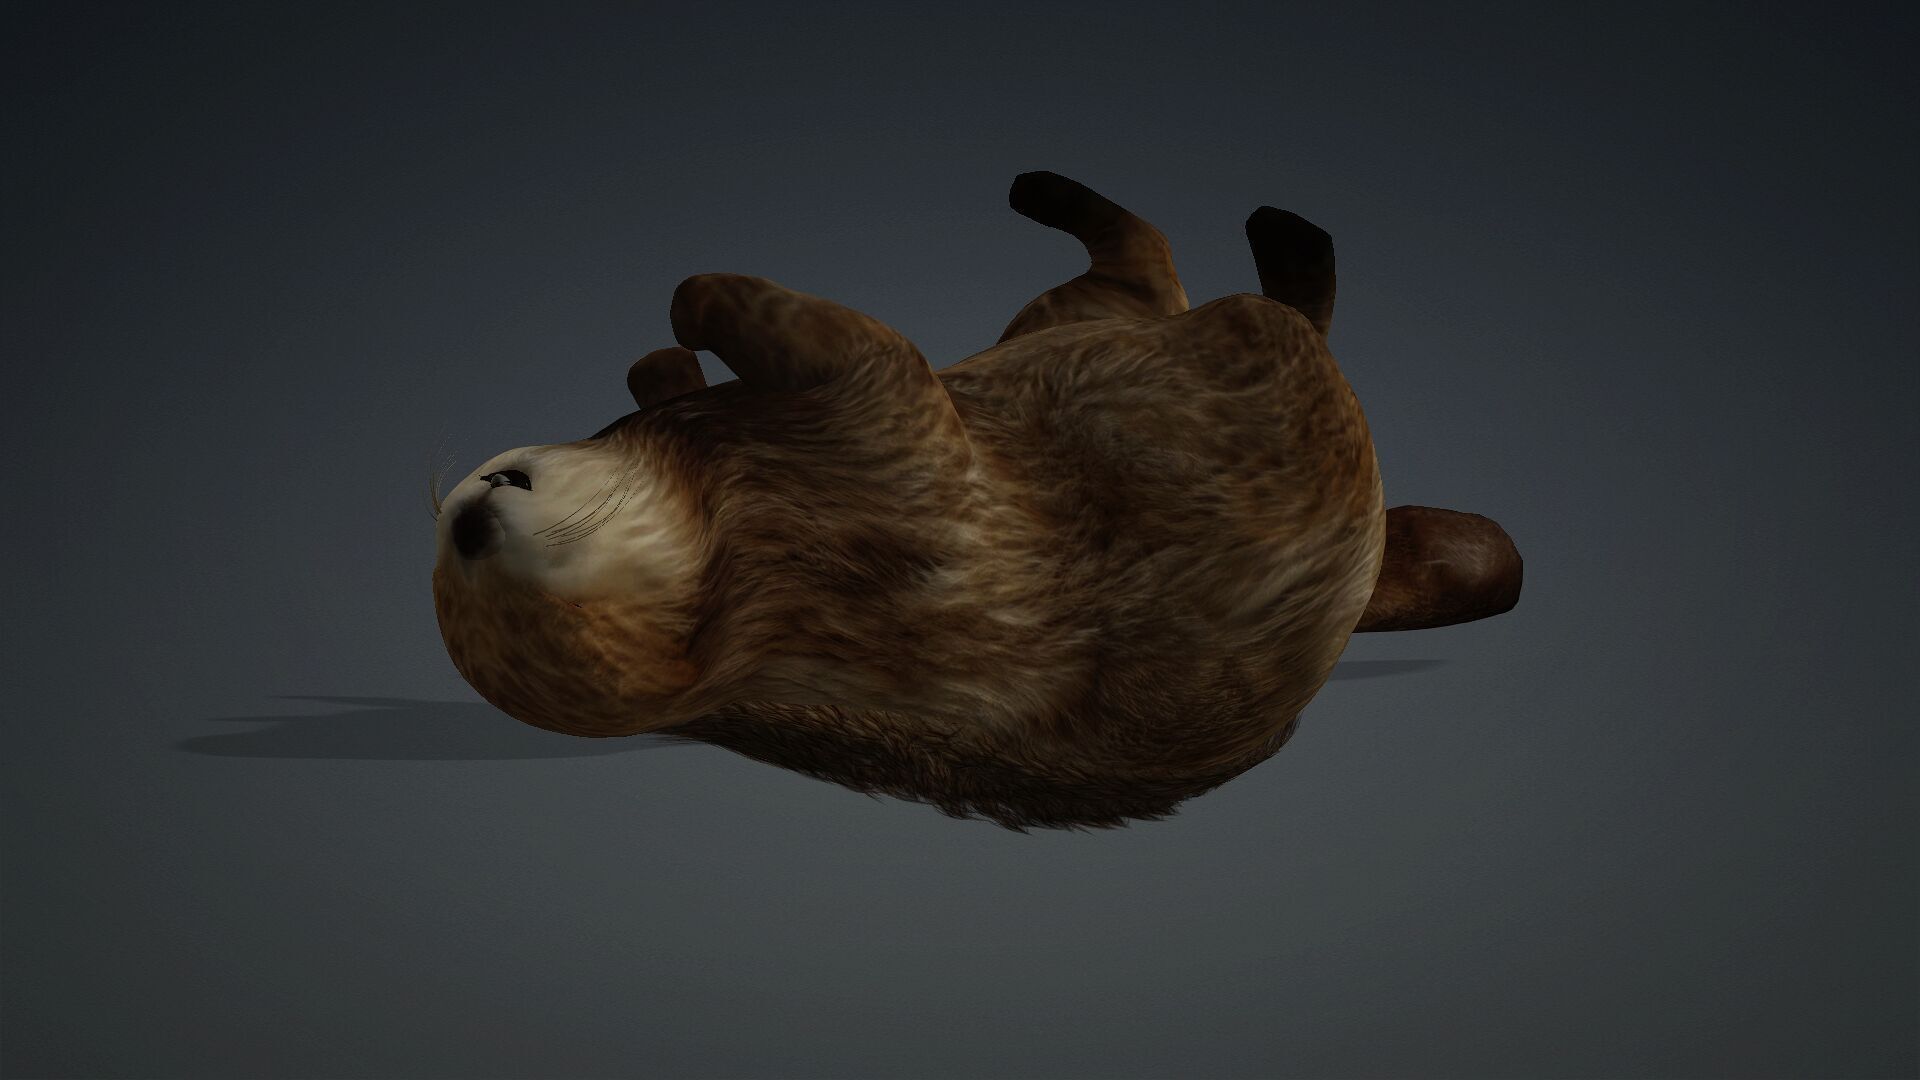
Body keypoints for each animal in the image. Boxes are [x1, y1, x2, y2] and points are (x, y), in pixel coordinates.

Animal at [430, 172, 1522, 830]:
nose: (472, 502)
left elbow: (677, 362)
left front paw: (663, 358)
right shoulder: (873, 461)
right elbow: (863, 355)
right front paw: (691, 317)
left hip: (1052, 334)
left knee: (1137, 269)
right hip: (1179, 338)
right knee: (1163, 262)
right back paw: (1272, 235)